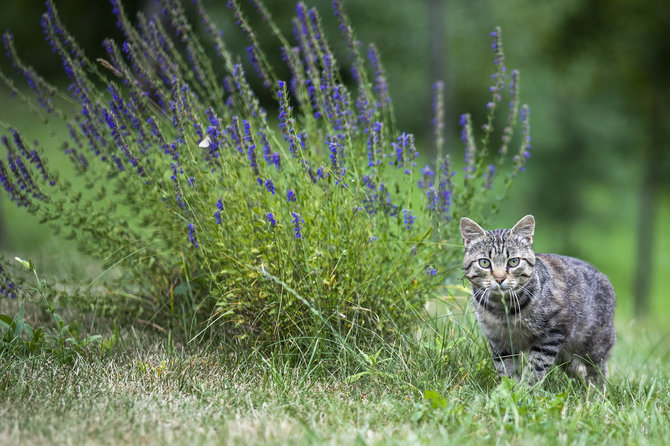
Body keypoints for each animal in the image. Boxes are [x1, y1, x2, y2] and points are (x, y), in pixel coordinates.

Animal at [462, 214, 620, 386]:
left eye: (513, 261)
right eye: (484, 262)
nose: (499, 278)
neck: (503, 310)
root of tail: (603, 276)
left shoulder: (553, 333)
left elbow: (536, 365)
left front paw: (526, 389)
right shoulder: (499, 340)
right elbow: (505, 369)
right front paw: (510, 388)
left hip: (595, 343)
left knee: (598, 370)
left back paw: (596, 390)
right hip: (565, 355)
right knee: (575, 370)